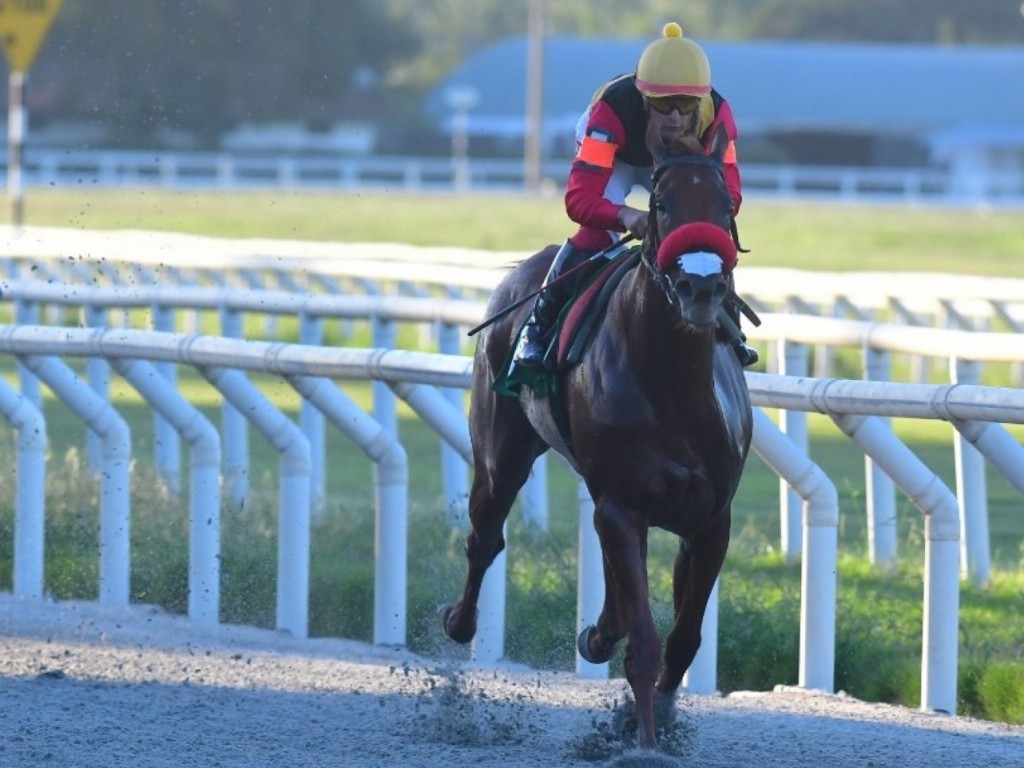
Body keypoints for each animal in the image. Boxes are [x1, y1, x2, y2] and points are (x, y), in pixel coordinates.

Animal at [442, 124, 753, 753]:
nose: (701, 286)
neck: (673, 384)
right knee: (485, 538)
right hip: (502, 455)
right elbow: (646, 645)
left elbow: (684, 639)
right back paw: (461, 622)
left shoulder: (711, 520)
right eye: (660, 204)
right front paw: (646, 743)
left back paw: (600, 632)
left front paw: (655, 717)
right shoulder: (623, 504)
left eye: (727, 205)